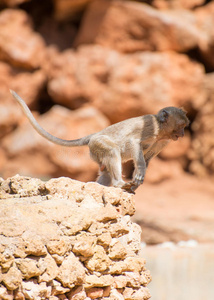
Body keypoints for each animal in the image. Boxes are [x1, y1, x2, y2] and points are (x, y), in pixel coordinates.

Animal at [10, 89, 189, 193]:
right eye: (181, 126)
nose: (182, 134)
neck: (160, 130)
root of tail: (94, 135)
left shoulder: (165, 140)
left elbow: (148, 156)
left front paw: (137, 181)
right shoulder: (151, 128)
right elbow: (133, 143)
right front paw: (139, 172)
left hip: (96, 153)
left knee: (105, 171)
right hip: (98, 144)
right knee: (112, 151)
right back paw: (118, 183)